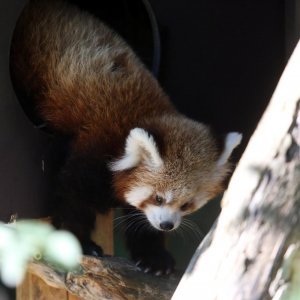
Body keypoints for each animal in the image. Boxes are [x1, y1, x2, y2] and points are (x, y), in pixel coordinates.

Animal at [10, 0, 243, 274]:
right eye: (158, 197)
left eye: (187, 204)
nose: (167, 225)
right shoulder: (96, 144)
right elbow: (72, 194)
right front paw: (80, 242)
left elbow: (142, 221)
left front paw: (154, 258)